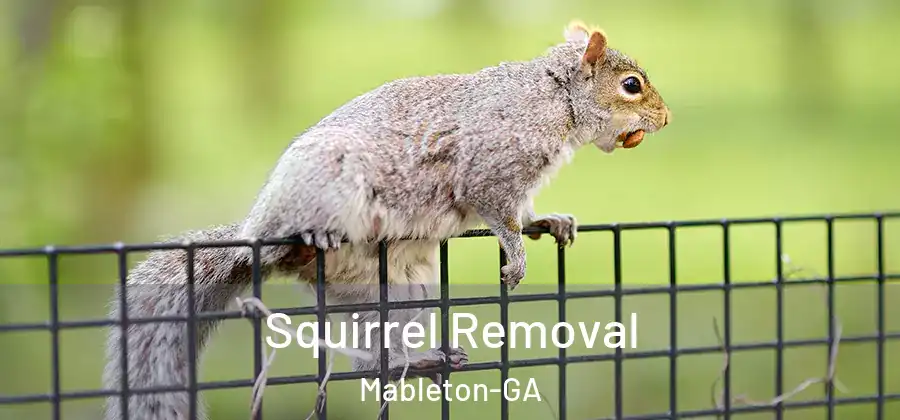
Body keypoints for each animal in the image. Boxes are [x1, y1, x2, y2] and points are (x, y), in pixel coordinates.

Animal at [101, 20, 670, 420]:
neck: (554, 97)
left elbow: (525, 212)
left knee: (372, 361)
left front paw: (549, 222)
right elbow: (498, 214)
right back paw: (308, 238)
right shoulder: (489, 168)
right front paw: (516, 257)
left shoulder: (519, 183)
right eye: (631, 85)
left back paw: (417, 361)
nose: (665, 120)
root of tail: (251, 237)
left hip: (399, 291)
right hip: (324, 187)